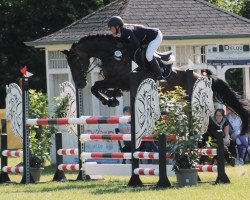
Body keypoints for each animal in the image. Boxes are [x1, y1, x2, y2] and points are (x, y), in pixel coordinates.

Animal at [62, 34, 250, 134]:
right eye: (68, 65)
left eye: (76, 62)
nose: (80, 84)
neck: (113, 55)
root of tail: (203, 77)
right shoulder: (117, 82)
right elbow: (98, 88)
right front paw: (111, 98)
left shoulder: (120, 79)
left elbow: (97, 86)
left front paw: (109, 100)